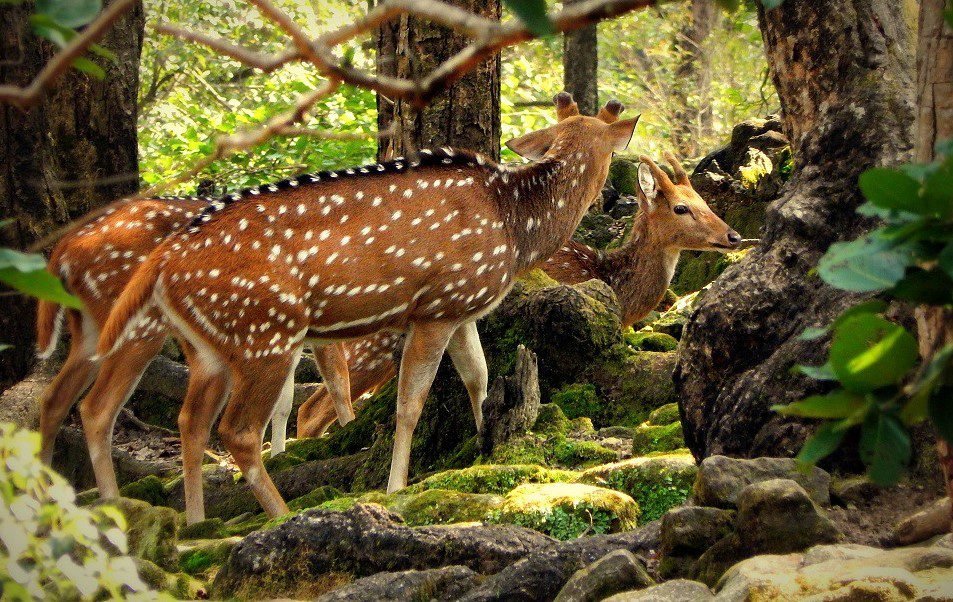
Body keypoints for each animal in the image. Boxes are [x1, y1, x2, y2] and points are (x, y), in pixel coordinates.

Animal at [95, 92, 640, 520]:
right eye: (612, 149)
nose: (615, 193)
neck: (515, 226)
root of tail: (161, 262)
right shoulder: (435, 307)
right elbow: (409, 403)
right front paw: (397, 486)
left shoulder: (461, 307)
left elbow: (479, 377)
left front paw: (486, 448)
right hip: (265, 331)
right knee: (238, 431)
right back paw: (280, 514)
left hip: (209, 345)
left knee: (184, 422)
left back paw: (192, 521)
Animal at [294, 152, 740, 438]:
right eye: (681, 208)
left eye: (705, 200)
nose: (733, 235)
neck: (607, 276)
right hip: (372, 341)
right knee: (312, 407)